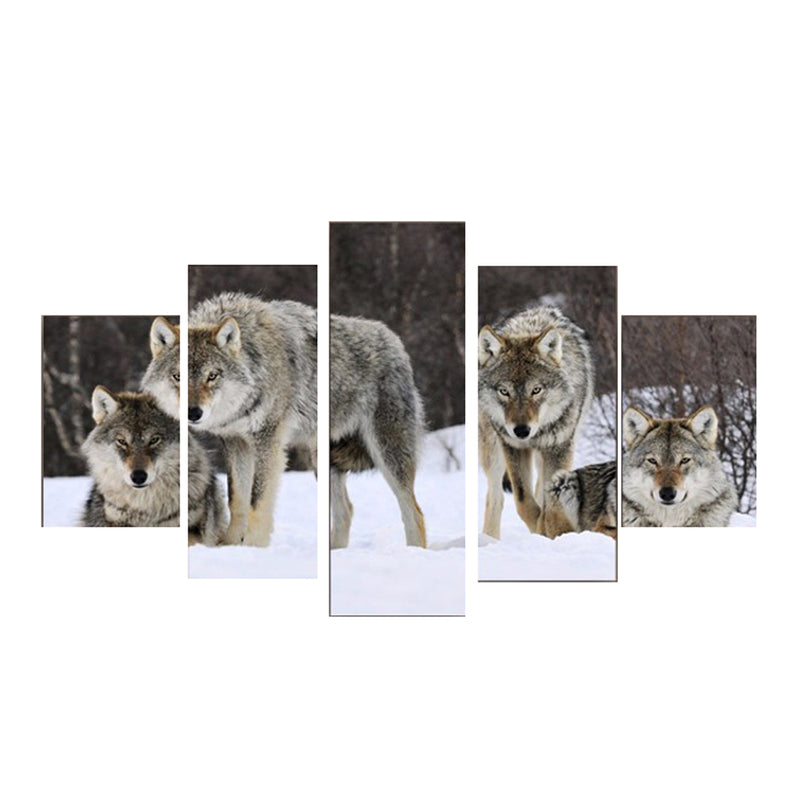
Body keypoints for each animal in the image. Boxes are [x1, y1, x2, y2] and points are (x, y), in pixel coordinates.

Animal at [187, 293, 317, 547]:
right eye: (178, 377)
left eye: (212, 376)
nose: (193, 413)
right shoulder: (235, 441)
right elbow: (237, 498)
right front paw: (231, 544)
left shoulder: (268, 440)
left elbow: (258, 499)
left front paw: (254, 545)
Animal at [479, 306, 594, 538]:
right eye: (504, 392)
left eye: (536, 390)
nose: (522, 430)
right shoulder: (513, 447)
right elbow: (524, 503)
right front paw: (539, 529)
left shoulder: (559, 448)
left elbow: (548, 502)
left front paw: (548, 531)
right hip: (493, 451)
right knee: (495, 497)